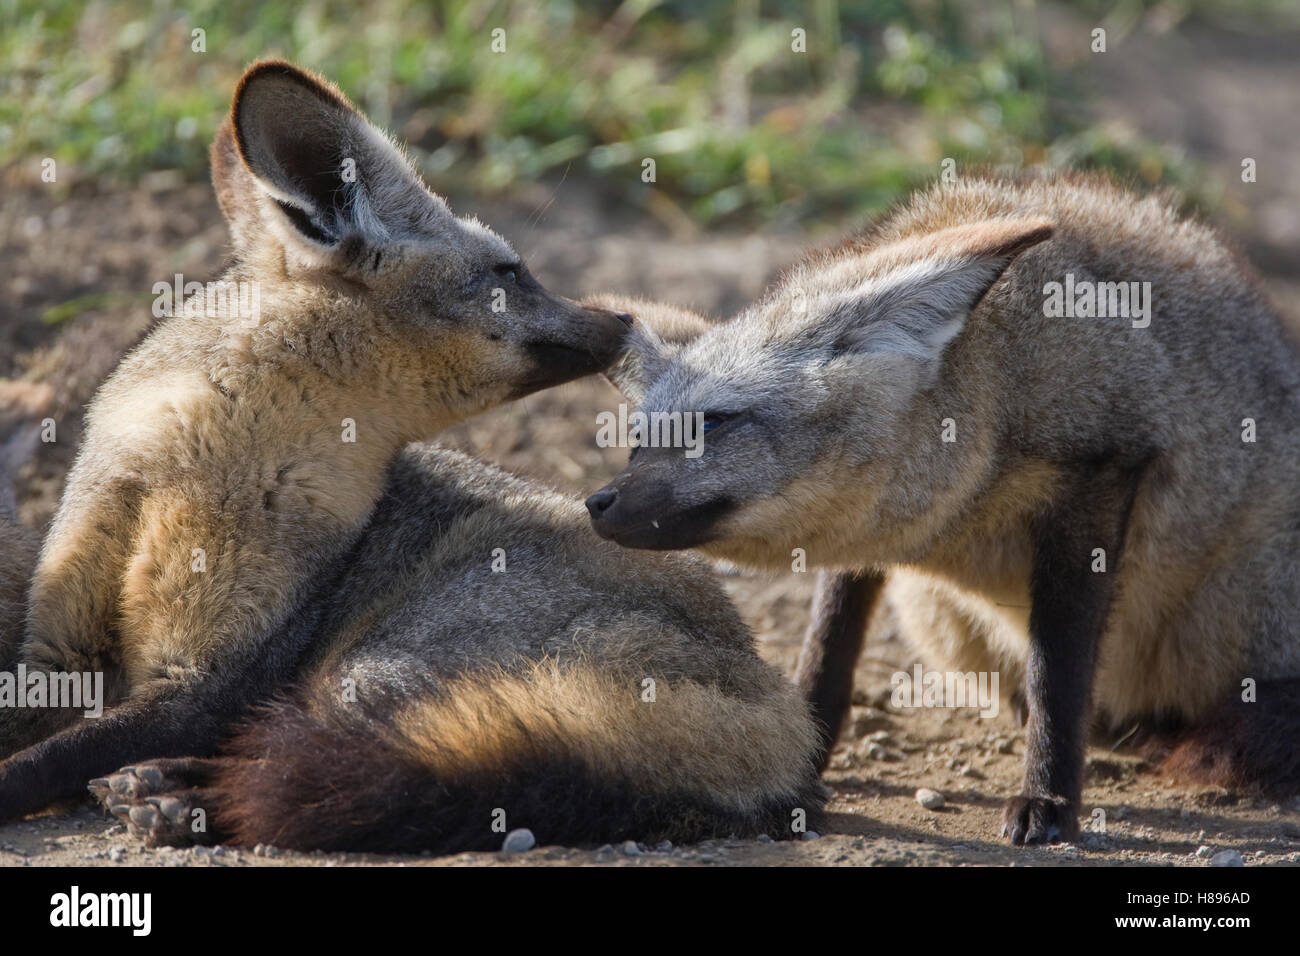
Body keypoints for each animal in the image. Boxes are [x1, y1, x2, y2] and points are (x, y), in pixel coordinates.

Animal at [0, 60, 633, 823]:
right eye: (511, 273)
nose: (625, 320)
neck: (183, 472)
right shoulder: (54, 655)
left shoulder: (204, 686)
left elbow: (34, 765)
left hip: (369, 667)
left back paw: (173, 793)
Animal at [584, 171, 1300, 845]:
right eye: (638, 441)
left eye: (714, 422)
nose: (596, 502)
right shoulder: (869, 538)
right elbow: (828, 648)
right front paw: (801, 757)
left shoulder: (1105, 469)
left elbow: (1059, 675)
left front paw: (1048, 799)